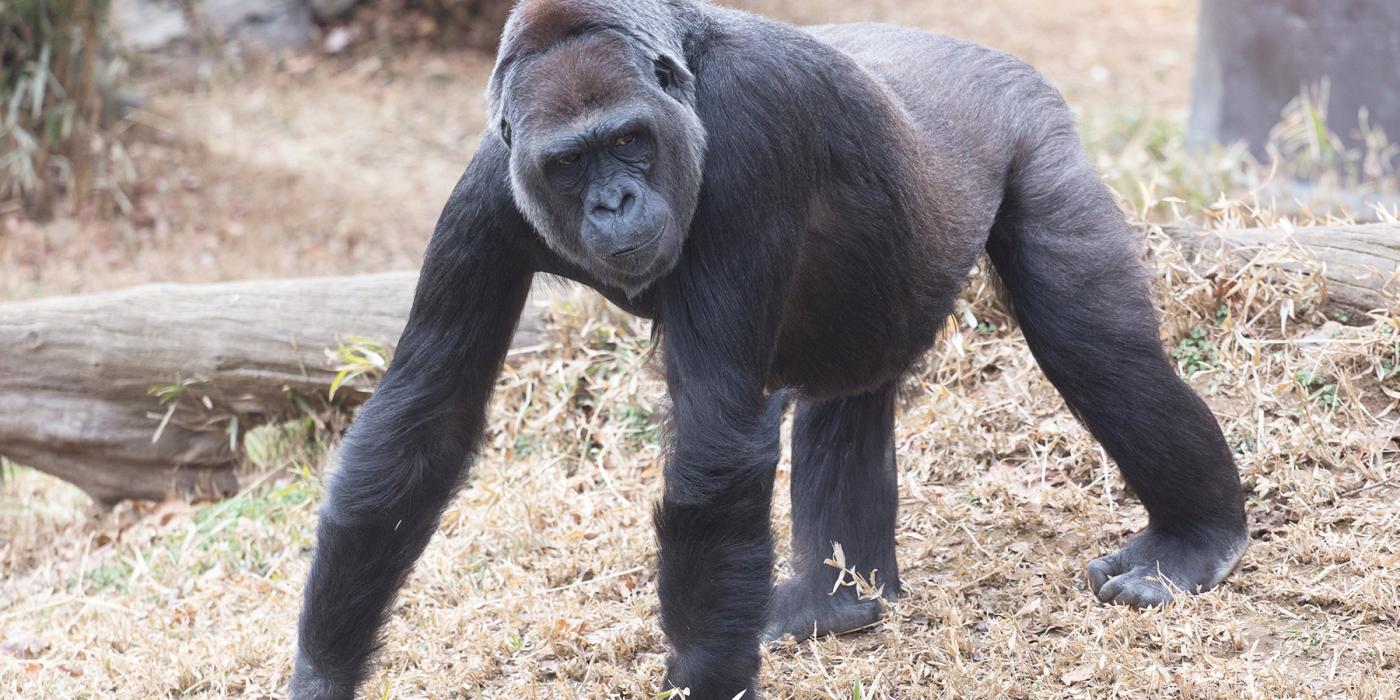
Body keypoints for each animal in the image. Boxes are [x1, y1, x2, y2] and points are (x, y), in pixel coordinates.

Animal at [292, 0, 1248, 694]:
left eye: (630, 141)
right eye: (569, 164)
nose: (612, 204)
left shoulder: (749, 136)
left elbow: (714, 448)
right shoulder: (489, 191)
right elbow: (422, 426)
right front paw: (321, 675)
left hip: (1033, 131)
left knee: (1094, 346)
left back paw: (1197, 537)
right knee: (847, 391)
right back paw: (838, 603)